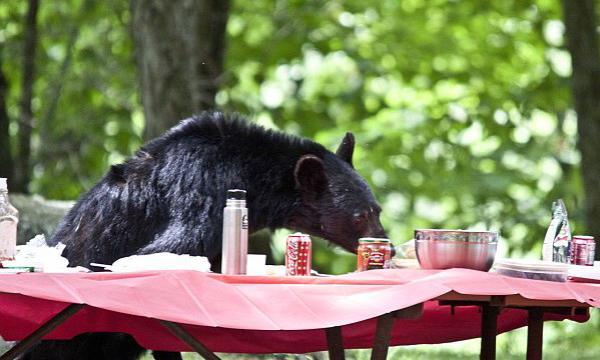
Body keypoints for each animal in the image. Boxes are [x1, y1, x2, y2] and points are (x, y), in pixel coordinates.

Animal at [27, 111, 384, 358]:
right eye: (361, 215)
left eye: (377, 209)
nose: (387, 244)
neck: (252, 173)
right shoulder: (203, 184)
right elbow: (167, 249)